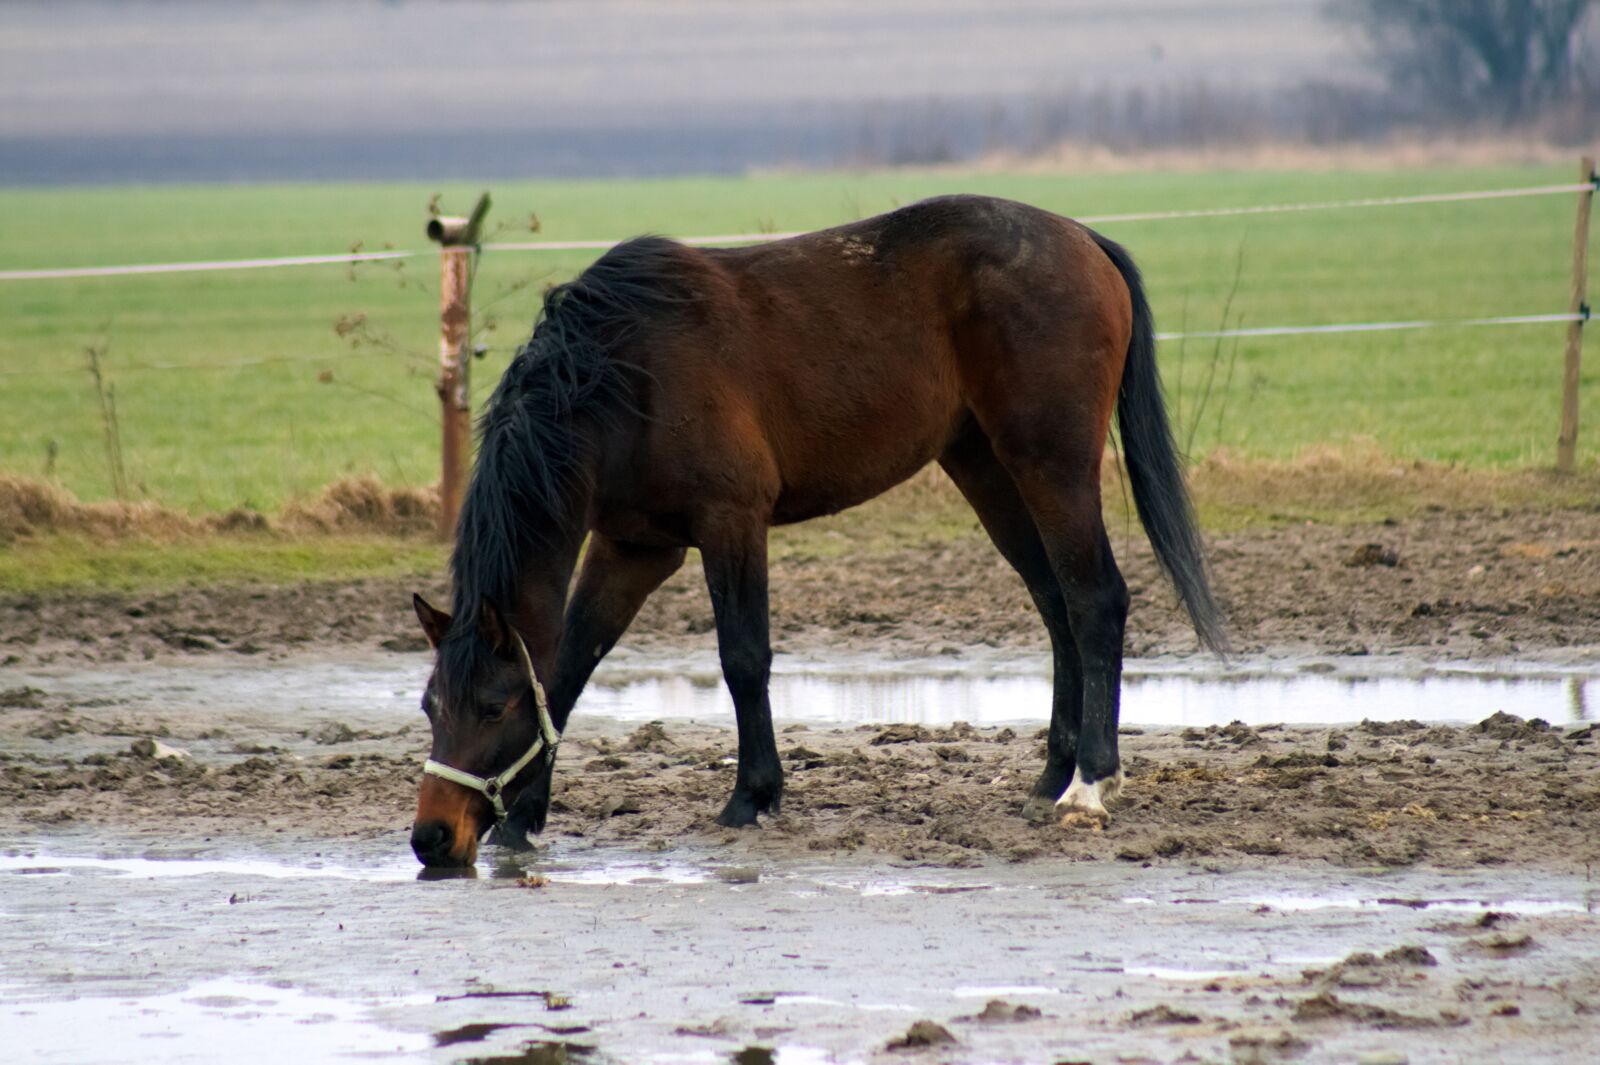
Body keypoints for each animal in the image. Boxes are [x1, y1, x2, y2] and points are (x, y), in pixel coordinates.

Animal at [408, 194, 1226, 868]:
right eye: (428, 704)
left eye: (491, 706)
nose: (432, 837)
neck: (622, 377)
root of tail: (1084, 239)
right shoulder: (633, 547)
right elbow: (571, 668)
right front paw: (525, 819)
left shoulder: (732, 523)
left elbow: (743, 658)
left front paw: (752, 796)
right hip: (987, 470)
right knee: (1057, 607)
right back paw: (1051, 774)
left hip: (1051, 465)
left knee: (1095, 600)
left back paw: (1089, 783)